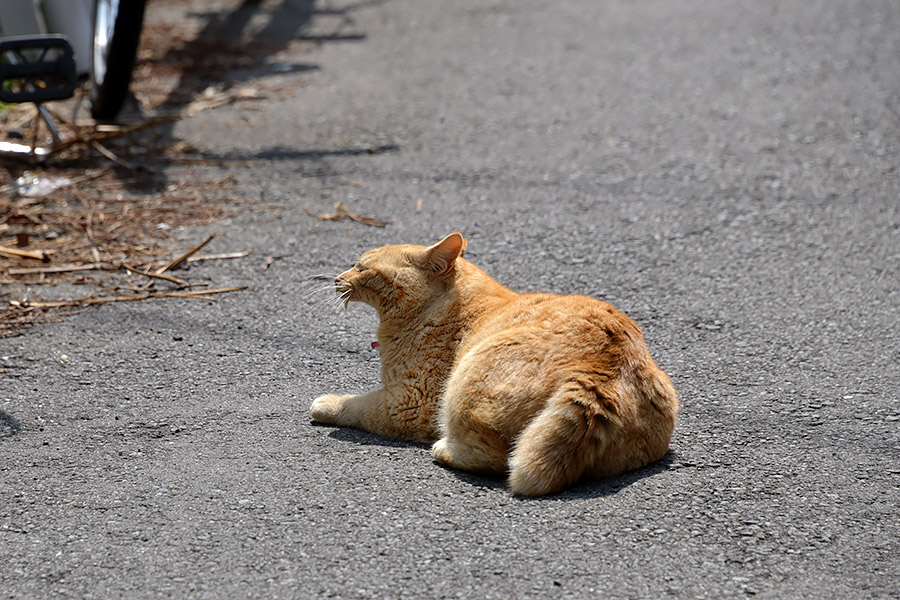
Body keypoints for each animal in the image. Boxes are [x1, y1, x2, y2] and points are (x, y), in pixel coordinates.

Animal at [312, 232, 680, 494]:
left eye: (361, 267)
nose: (336, 278)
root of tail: (601, 366)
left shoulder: (409, 402)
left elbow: (357, 406)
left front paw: (327, 405)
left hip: (462, 386)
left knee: (495, 459)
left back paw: (444, 449)